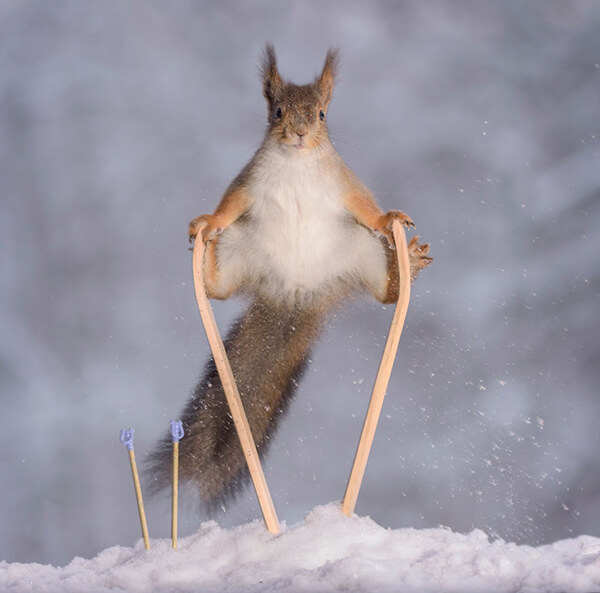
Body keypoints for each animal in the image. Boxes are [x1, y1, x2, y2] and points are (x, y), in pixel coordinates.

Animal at [149, 45, 432, 508]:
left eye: (321, 114)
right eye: (278, 111)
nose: (299, 133)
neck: (298, 163)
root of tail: (297, 295)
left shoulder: (345, 183)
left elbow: (367, 207)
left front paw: (391, 217)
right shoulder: (247, 183)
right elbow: (227, 206)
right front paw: (206, 220)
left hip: (366, 252)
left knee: (386, 294)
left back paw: (405, 263)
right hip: (239, 249)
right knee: (219, 290)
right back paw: (206, 263)